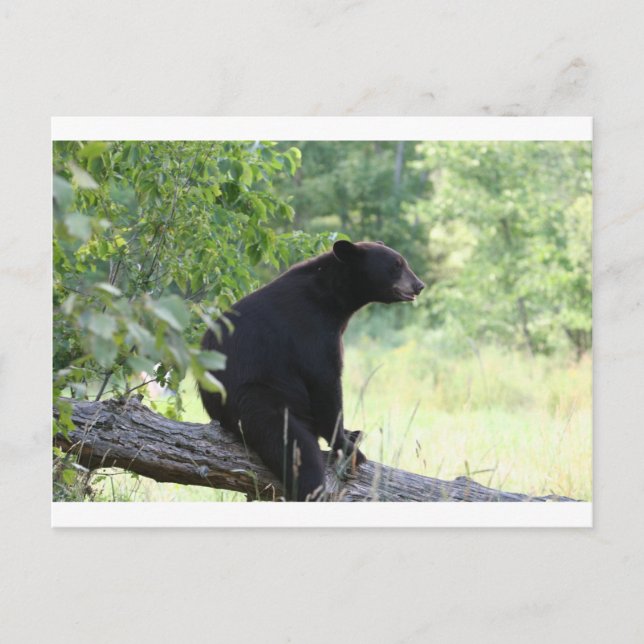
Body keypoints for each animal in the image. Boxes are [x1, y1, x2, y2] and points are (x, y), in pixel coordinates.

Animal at [199, 240, 425, 501]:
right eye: (396, 265)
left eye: (402, 262)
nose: (419, 285)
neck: (332, 298)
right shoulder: (311, 330)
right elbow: (325, 382)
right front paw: (346, 446)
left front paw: (350, 433)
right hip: (257, 399)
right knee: (297, 451)